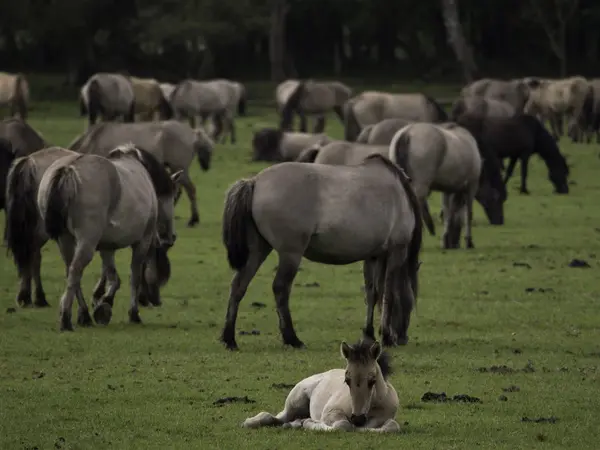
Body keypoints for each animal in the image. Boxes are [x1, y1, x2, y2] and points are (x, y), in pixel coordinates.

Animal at [220, 153, 422, 350]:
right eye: (411, 304)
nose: (403, 338)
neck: (399, 194)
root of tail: (255, 182)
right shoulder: (397, 251)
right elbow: (389, 293)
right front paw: (387, 336)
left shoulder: (373, 256)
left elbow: (372, 293)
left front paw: (369, 334)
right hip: (290, 254)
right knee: (280, 288)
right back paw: (292, 339)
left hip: (258, 250)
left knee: (238, 285)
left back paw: (229, 339)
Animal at [241, 338, 400, 432]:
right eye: (347, 380)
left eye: (372, 380)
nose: (358, 419)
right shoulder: (330, 412)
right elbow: (342, 425)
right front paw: (309, 423)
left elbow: (391, 426)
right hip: (294, 404)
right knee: (273, 417)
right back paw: (249, 422)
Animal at [390, 122, 506, 250]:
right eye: (497, 199)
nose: (500, 221)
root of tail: (407, 133)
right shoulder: (471, 187)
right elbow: (467, 214)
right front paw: (468, 241)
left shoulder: (448, 189)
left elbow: (448, 213)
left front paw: (446, 240)